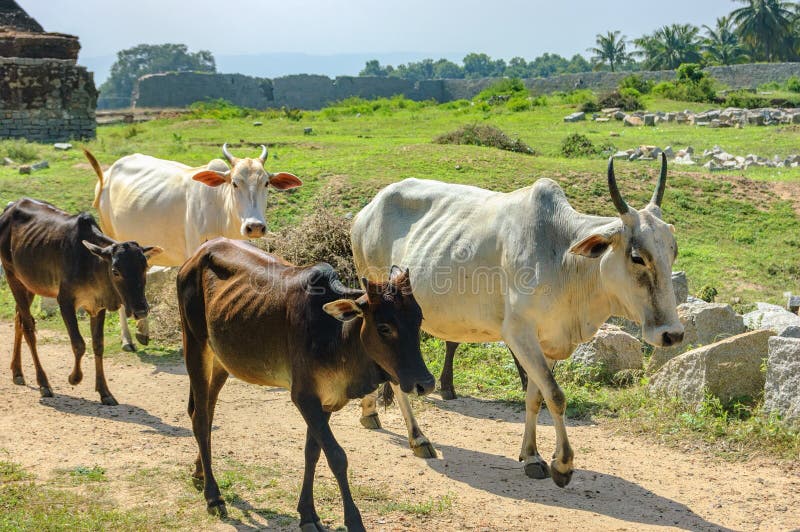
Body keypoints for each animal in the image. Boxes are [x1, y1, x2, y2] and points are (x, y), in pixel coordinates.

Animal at [0, 198, 161, 404]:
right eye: (115, 271)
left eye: (145, 267)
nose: (141, 310)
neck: (91, 262)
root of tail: (10, 207)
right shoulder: (65, 301)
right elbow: (79, 344)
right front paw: (74, 378)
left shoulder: (98, 305)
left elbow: (98, 345)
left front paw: (105, 392)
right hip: (12, 276)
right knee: (28, 327)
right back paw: (43, 383)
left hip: (29, 284)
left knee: (18, 319)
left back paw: (18, 372)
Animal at [83, 143, 304, 352]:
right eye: (234, 183)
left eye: (266, 183)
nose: (255, 226)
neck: (221, 210)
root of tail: (107, 174)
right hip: (112, 240)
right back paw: (127, 339)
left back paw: (142, 331)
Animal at [177, 238, 434, 532]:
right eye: (384, 327)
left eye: (419, 319)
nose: (426, 383)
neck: (335, 334)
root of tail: (196, 255)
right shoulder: (304, 397)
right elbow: (336, 456)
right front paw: (353, 520)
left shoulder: (327, 400)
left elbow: (312, 452)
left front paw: (308, 514)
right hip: (195, 345)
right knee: (199, 418)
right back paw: (213, 495)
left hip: (221, 361)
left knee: (206, 413)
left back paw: (200, 472)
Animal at [354, 153, 684, 486]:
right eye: (637, 257)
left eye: (673, 252)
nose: (673, 334)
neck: (563, 259)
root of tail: (369, 208)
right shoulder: (518, 334)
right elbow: (556, 395)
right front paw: (562, 464)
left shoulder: (548, 342)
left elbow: (535, 397)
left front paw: (532, 456)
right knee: (394, 378)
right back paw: (417, 438)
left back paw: (370, 412)